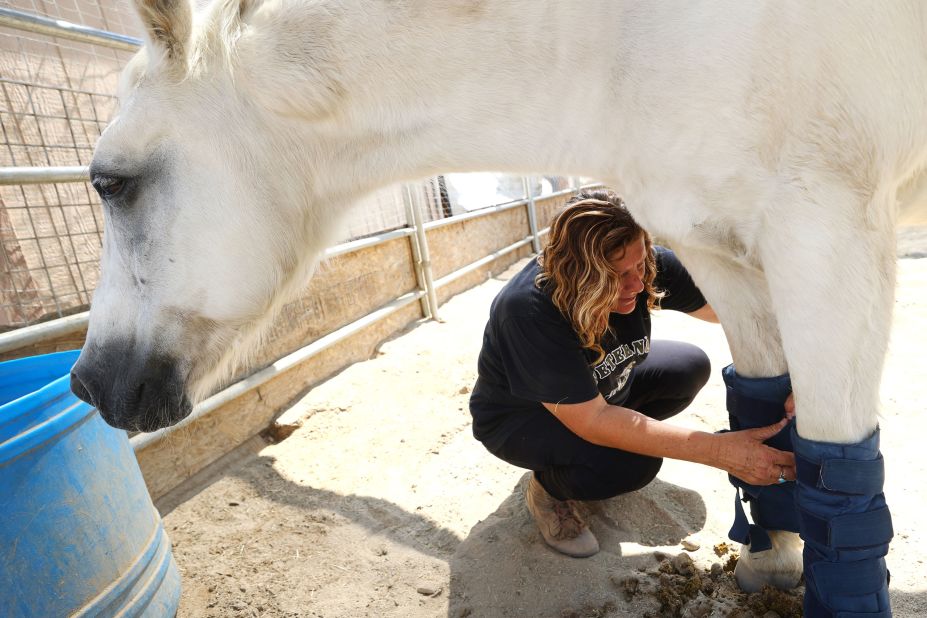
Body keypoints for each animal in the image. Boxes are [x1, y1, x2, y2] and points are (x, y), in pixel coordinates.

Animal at [72, 0, 927, 608]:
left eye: (111, 182)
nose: (89, 382)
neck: (627, 36)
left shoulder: (825, 232)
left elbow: (833, 459)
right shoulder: (720, 250)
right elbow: (762, 408)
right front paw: (770, 560)